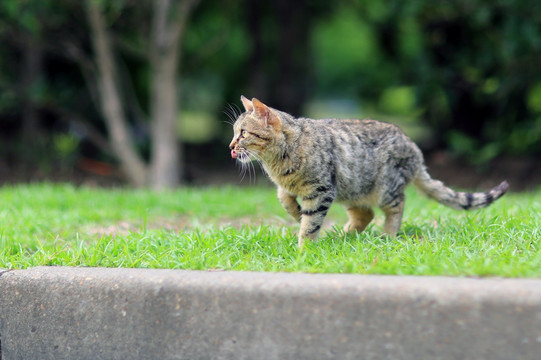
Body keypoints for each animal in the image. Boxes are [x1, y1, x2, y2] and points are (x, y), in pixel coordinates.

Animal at [228, 95, 506, 248]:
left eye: (243, 133)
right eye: (234, 132)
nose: (230, 146)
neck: (278, 163)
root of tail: (415, 150)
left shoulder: (321, 190)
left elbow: (310, 224)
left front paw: (304, 250)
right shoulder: (294, 188)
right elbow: (285, 200)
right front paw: (297, 215)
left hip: (384, 189)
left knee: (396, 206)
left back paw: (386, 235)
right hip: (351, 189)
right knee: (366, 215)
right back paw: (342, 237)